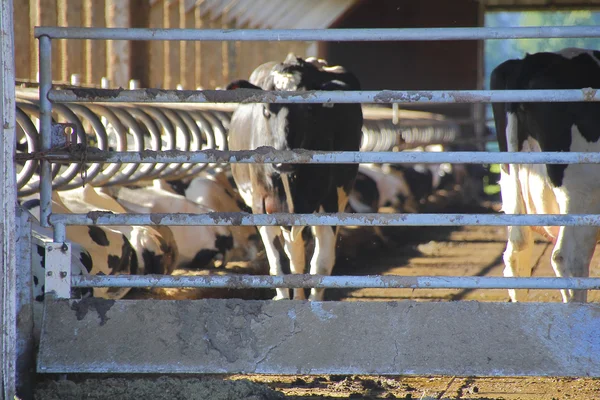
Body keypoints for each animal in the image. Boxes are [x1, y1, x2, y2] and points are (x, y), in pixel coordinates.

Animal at [227, 54, 364, 302]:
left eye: (309, 109)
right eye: (266, 110)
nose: (284, 160)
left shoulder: (329, 202)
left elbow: (321, 263)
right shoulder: (261, 203)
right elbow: (278, 262)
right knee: (294, 254)